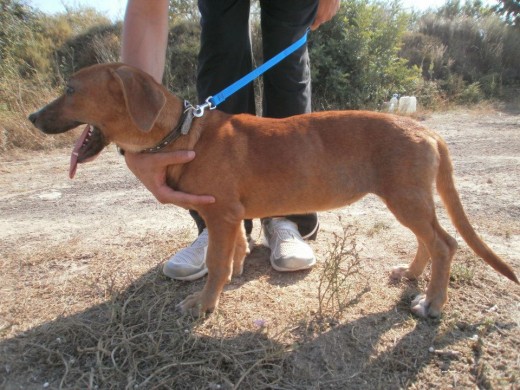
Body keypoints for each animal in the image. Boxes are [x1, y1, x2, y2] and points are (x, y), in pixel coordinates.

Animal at [30, 63, 516, 316]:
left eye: (69, 89)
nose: (32, 117)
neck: (185, 133)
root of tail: (426, 130)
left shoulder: (221, 214)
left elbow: (217, 263)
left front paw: (205, 304)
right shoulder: (227, 216)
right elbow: (234, 251)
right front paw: (235, 272)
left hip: (406, 199)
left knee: (445, 244)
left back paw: (432, 304)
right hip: (407, 199)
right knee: (429, 242)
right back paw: (412, 275)